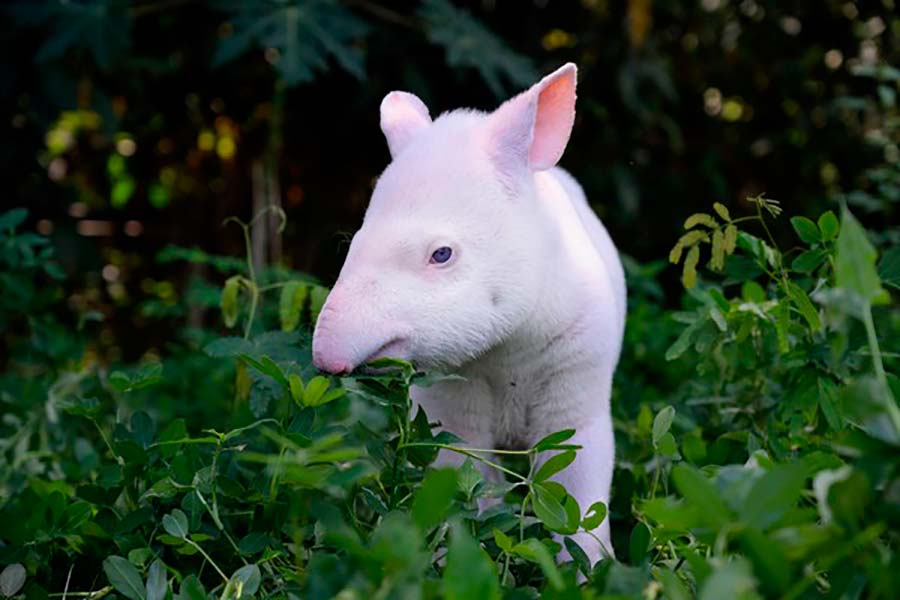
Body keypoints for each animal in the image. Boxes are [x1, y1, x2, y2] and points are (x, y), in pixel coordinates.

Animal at [312, 63, 628, 560]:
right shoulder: (448, 403)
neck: (508, 349)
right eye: (355, 242)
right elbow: (466, 482)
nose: (327, 356)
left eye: (441, 254)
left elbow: (575, 496)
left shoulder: (580, 382)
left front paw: (591, 569)